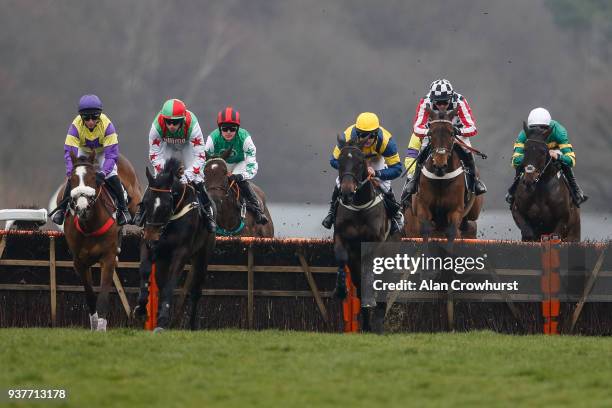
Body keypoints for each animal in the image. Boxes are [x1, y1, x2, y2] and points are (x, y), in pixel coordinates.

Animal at [58, 151, 142, 330]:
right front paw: (94, 324)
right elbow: (90, 295)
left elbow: (103, 294)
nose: (82, 208)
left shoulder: (107, 258)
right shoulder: (79, 262)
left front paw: (101, 328)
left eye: (93, 178)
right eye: (72, 180)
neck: (90, 225)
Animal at [135, 157, 216, 332]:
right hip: (162, 259)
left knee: (196, 290)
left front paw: (163, 321)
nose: (153, 238)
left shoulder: (181, 252)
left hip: (202, 255)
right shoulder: (147, 243)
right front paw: (141, 308)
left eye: (166, 205)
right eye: (146, 202)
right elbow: (145, 271)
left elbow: (170, 284)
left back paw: (192, 325)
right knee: (160, 281)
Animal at [330, 135, 392, 334]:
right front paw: (341, 290)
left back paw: (378, 321)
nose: (347, 191)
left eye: (360, 162)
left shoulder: (375, 243)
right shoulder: (341, 238)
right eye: (340, 161)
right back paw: (367, 324)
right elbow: (341, 258)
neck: (359, 207)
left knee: (383, 282)